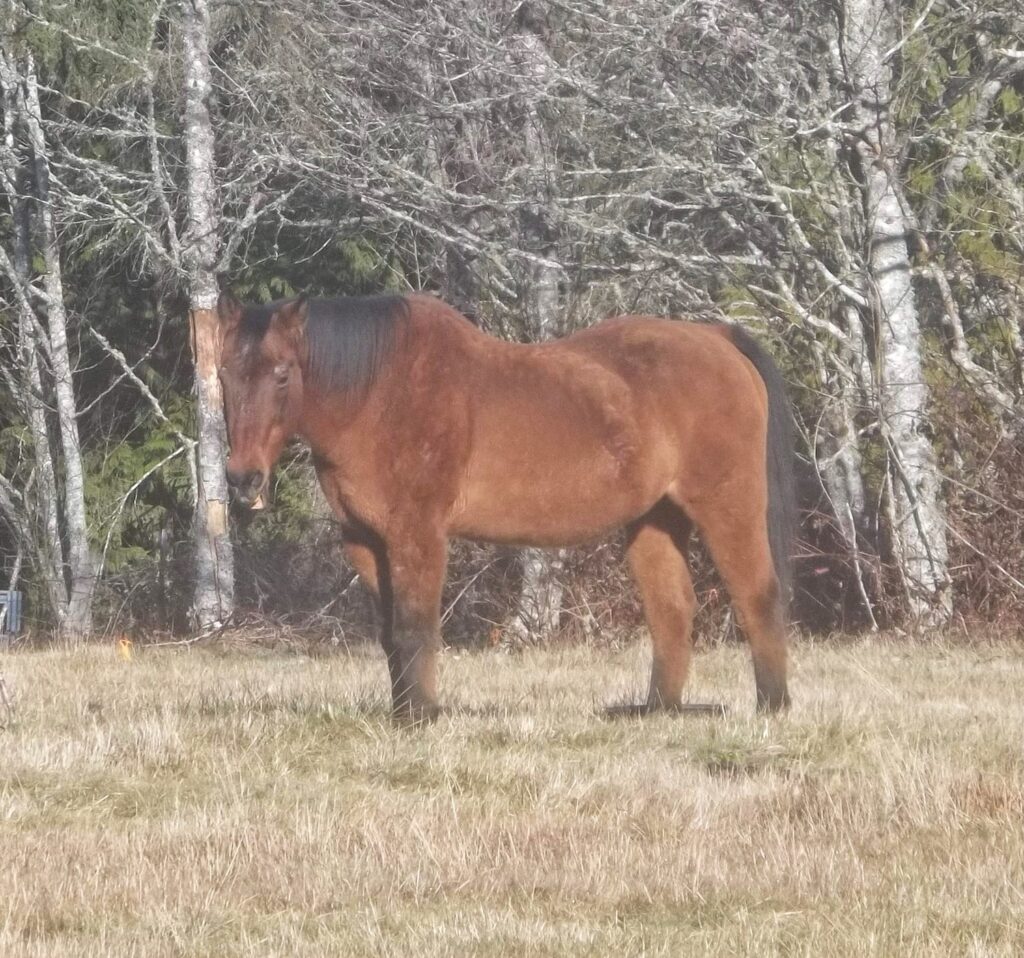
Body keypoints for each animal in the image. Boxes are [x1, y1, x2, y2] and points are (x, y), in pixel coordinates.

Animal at [216, 292, 794, 720]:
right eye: (223, 375)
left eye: (283, 373)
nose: (243, 479)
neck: (380, 394)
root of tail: (716, 338)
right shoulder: (365, 541)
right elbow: (390, 634)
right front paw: (402, 713)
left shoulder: (417, 534)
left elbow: (415, 626)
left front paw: (421, 717)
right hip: (655, 519)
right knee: (672, 609)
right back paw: (657, 711)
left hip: (727, 505)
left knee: (757, 596)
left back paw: (772, 706)